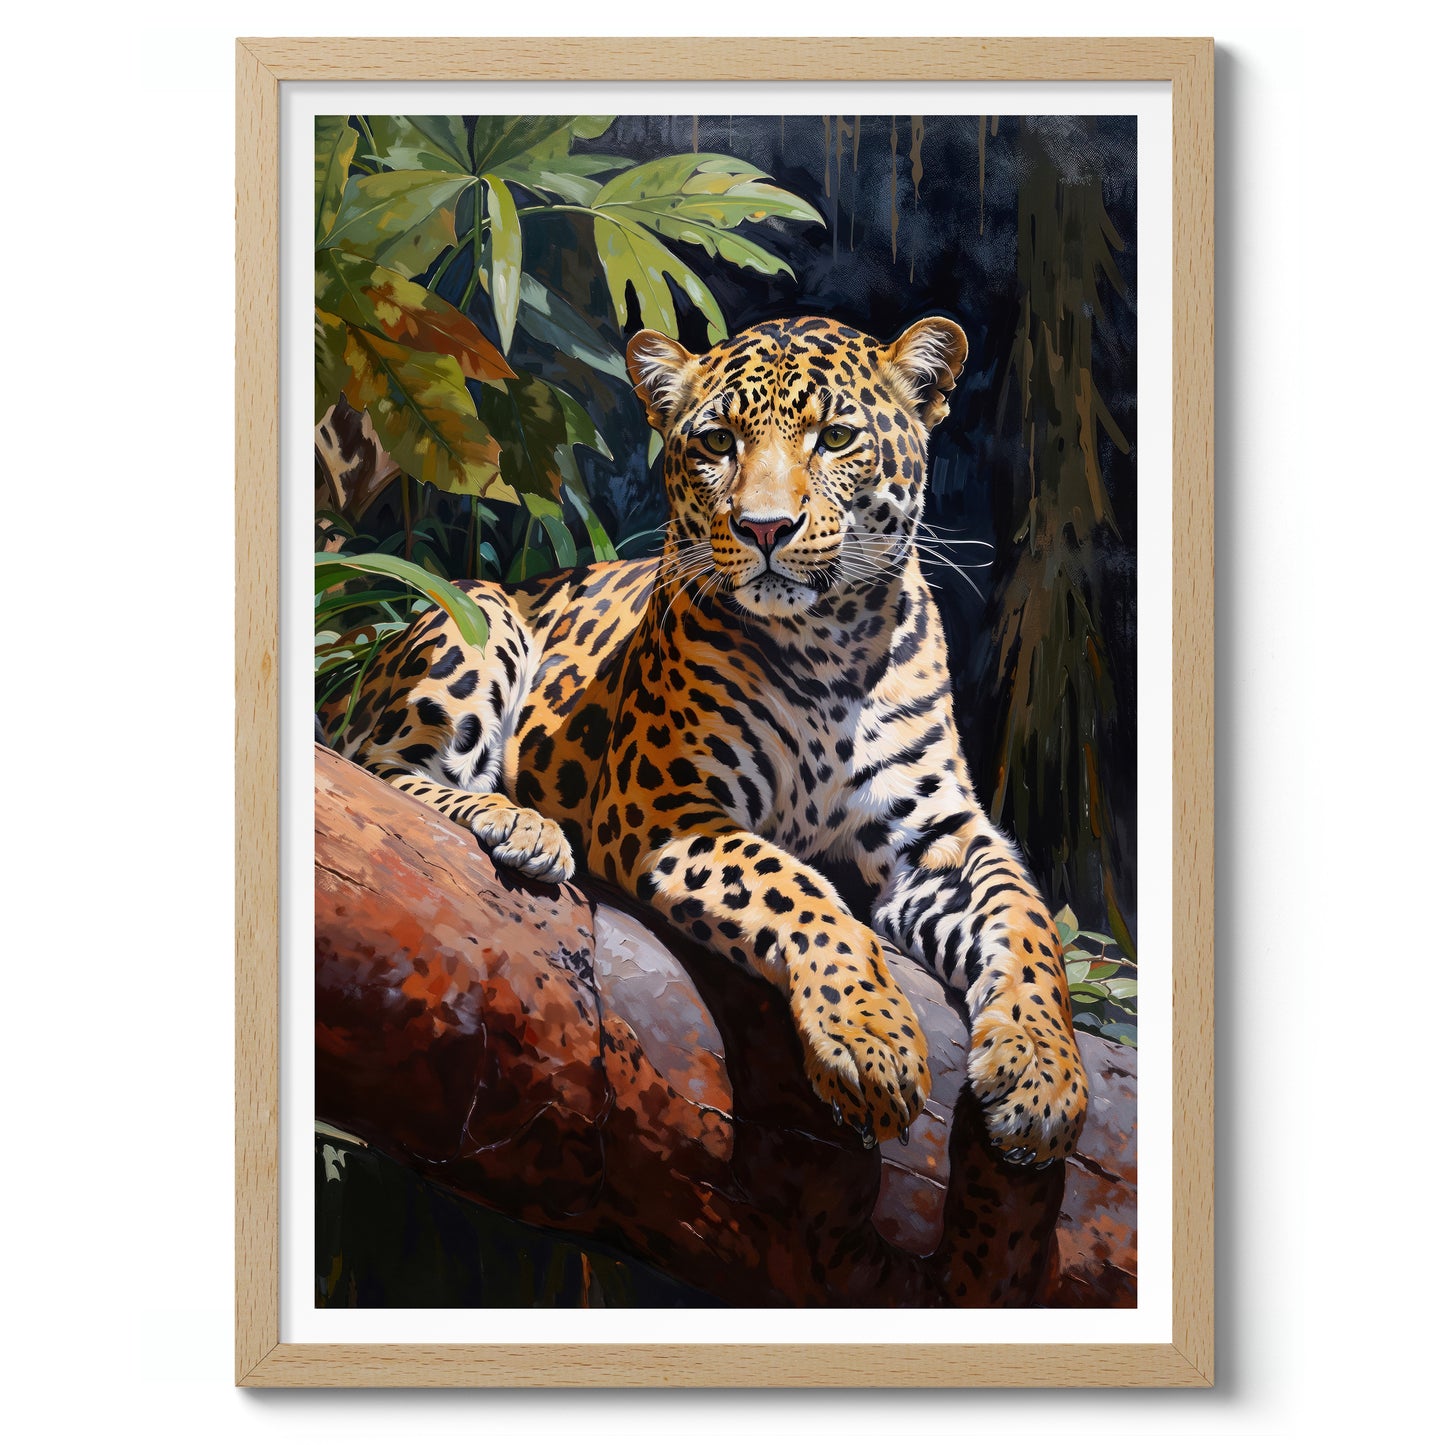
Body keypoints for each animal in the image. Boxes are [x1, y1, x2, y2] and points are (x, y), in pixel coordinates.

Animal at [320, 314, 1088, 1165]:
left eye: (836, 437)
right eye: (717, 441)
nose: (764, 527)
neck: (830, 647)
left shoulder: (939, 836)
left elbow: (1025, 921)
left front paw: (1042, 1076)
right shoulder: (662, 806)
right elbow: (796, 885)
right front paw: (867, 1037)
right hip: (480, 611)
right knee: (377, 767)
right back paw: (518, 823)